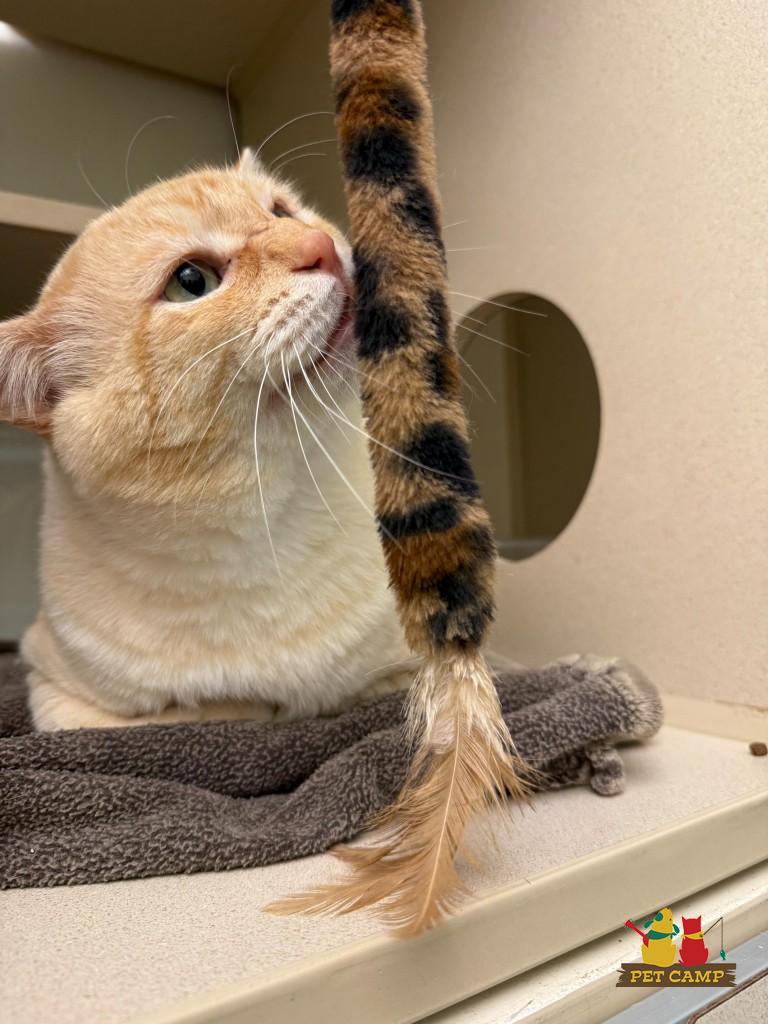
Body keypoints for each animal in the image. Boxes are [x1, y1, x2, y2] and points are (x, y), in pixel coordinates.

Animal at [0, 150, 416, 730]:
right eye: (191, 281)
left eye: (281, 212)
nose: (321, 245)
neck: (267, 521)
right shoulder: (59, 697)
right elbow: (206, 713)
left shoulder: (419, 667)